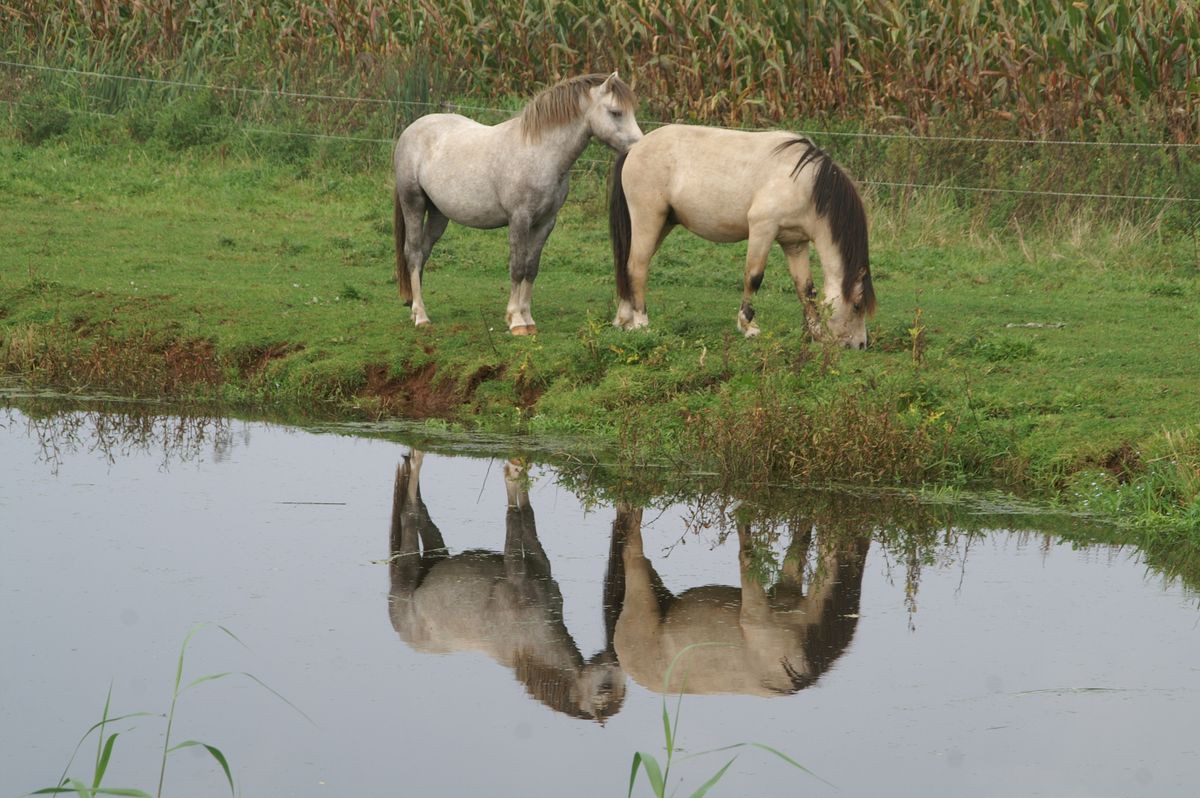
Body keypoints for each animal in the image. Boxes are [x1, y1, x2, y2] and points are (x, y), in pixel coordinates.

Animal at [386, 451, 628, 720]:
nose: (616, 655)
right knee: (409, 513)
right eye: (606, 686)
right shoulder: (514, 568)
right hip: (408, 569)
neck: (533, 633)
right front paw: (512, 475)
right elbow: (514, 518)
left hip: (435, 554)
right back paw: (416, 460)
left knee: (422, 511)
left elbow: (528, 516)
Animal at [393, 73, 643, 333]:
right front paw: (516, 321)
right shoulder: (519, 219)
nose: (639, 147)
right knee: (413, 253)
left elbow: (531, 267)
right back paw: (421, 316)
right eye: (616, 112)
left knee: (423, 251)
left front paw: (528, 318)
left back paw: (414, 310)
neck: (540, 152)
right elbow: (518, 267)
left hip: (438, 214)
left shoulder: (545, 222)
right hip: (413, 203)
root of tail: (411, 129)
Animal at [609, 124, 873, 345]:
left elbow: (806, 289)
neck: (804, 183)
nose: (859, 345)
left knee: (626, 267)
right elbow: (754, 277)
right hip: (648, 220)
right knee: (637, 267)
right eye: (857, 305)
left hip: (663, 224)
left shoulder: (795, 242)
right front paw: (748, 326)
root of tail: (634, 149)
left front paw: (817, 334)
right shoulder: (762, 228)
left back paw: (624, 320)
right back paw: (641, 323)